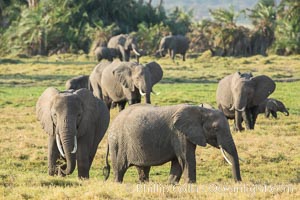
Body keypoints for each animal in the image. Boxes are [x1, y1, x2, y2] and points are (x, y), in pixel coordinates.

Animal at [103, 104, 241, 184]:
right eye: (216, 129)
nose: (238, 182)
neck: (201, 110)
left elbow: (178, 162)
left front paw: (171, 185)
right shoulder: (179, 134)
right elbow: (187, 159)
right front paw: (190, 184)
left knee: (142, 169)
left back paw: (144, 184)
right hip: (118, 143)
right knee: (120, 168)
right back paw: (117, 184)